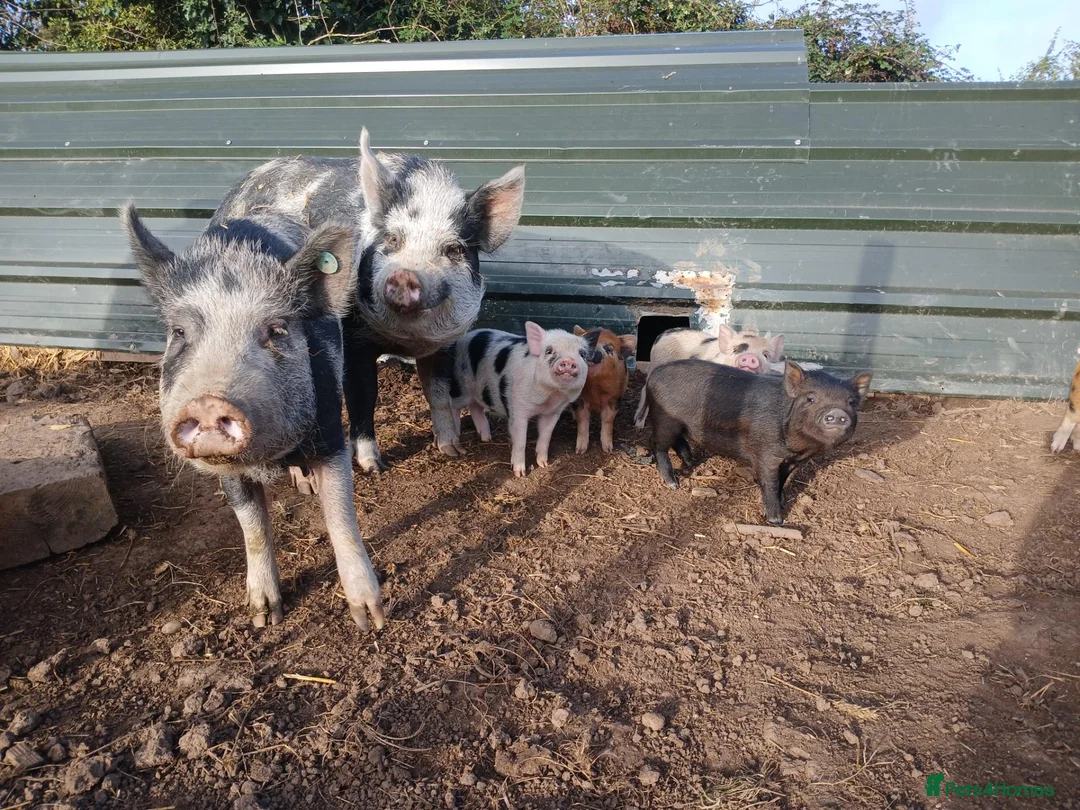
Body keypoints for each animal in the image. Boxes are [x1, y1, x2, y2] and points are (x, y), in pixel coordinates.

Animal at [121, 203, 384, 631]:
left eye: (275, 330)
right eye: (179, 332)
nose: (208, 403)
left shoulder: (330, 431)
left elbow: (341, 514)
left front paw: (370, 620)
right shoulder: (224, 469)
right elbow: (252, 527)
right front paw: (263, 618)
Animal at [210, 128, 526, 474]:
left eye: (454, 249)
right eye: (392, 239)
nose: (404, 275)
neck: (408, 339)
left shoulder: (445, 342)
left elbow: (438, 392)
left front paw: (452, 449)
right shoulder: (354, 339)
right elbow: (363, 397)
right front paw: (373, 466)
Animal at [429, 322, 589, 476]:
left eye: (582, 354)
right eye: (549, 351)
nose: (569, 360)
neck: (549, 397)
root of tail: (464, 337)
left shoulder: (553, 412)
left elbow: (546, 436)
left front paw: (544, 464)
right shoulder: (517, 409)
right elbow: (520, 440)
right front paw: (520, 473)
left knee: (476, 408)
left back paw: (487, 438)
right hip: (460, 386)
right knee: (452, 405)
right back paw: (455, 436)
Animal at [633, 325, 786, 428]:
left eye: (766, 355)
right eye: (735, 350)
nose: (750, 357)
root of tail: (663, 334)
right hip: (656, 364)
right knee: (644, 389)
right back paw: (638, 424)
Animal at [646, 359, 873, 525]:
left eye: (851, 402)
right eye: (810, 399)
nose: (838, 412)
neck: (798, 448)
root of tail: (654, 373)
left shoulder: (793, 461)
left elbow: (782, 480)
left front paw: (782, 504)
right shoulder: (765, 455)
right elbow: (770, 483)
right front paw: (776, 520)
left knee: (678, 441)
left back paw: (690, 462)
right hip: (665, 419)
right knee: (658, 445)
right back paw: (673, 484)